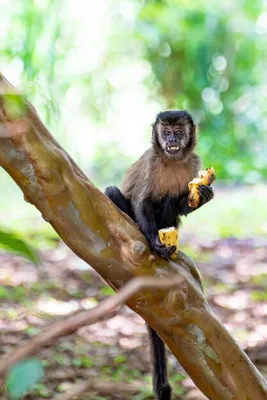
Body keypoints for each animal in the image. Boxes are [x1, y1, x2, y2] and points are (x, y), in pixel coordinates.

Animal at [105, 109, 215, 400]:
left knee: (167, 201)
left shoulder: (194, 164)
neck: (171, 159)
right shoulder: (152, 163)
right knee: (113, 193)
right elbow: (141, 201)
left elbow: (182, 202)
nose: (172, 141)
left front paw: (202, 195)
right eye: (166, 133)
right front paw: (155, 243)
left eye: (178, 132)